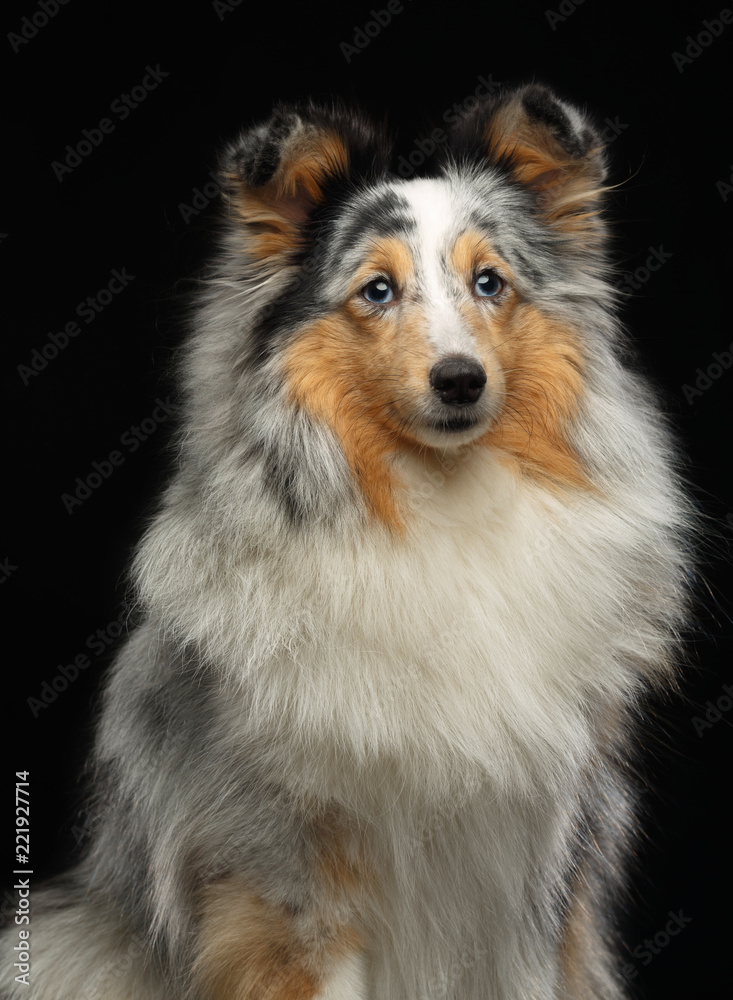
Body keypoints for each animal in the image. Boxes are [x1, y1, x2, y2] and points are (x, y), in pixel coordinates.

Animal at [2, 86, 696, 1000]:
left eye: (489, 282)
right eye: (376, 290)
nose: (460, 381)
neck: (440, 510)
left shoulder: (539, 863)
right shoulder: (286, 868)